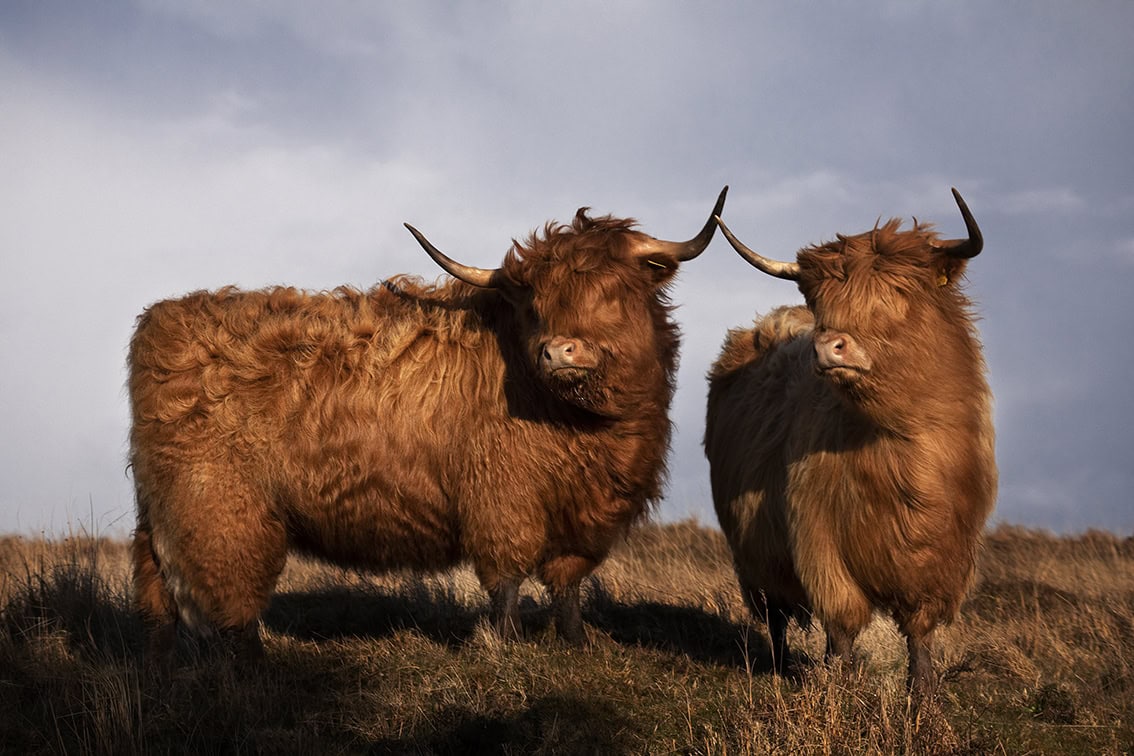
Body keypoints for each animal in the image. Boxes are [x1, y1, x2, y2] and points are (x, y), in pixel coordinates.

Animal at [124, 189, 725, 661]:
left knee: (155, 588)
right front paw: (507, 645)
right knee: (227, 595)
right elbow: (507, 578)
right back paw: (249, 665)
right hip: (218, 506)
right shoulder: (503, 500)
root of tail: (161, 320)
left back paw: (163, 664)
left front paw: (576, 644)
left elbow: (568, 583)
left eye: (615, 292)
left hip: (163, 508)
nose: (559, 350)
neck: (585, 428)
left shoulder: (590, 513)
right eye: (535, 301)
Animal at [703, 190, 997, 698]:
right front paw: (842, 689)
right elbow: (840, 618)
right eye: (821, 300)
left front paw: (922, 693)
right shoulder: (818, 539)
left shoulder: (944, 552)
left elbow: (919, 629)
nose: (828, 347)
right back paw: (781, 666)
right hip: (755, 556)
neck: (894, 445)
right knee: (776, 615)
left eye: (898, 292)